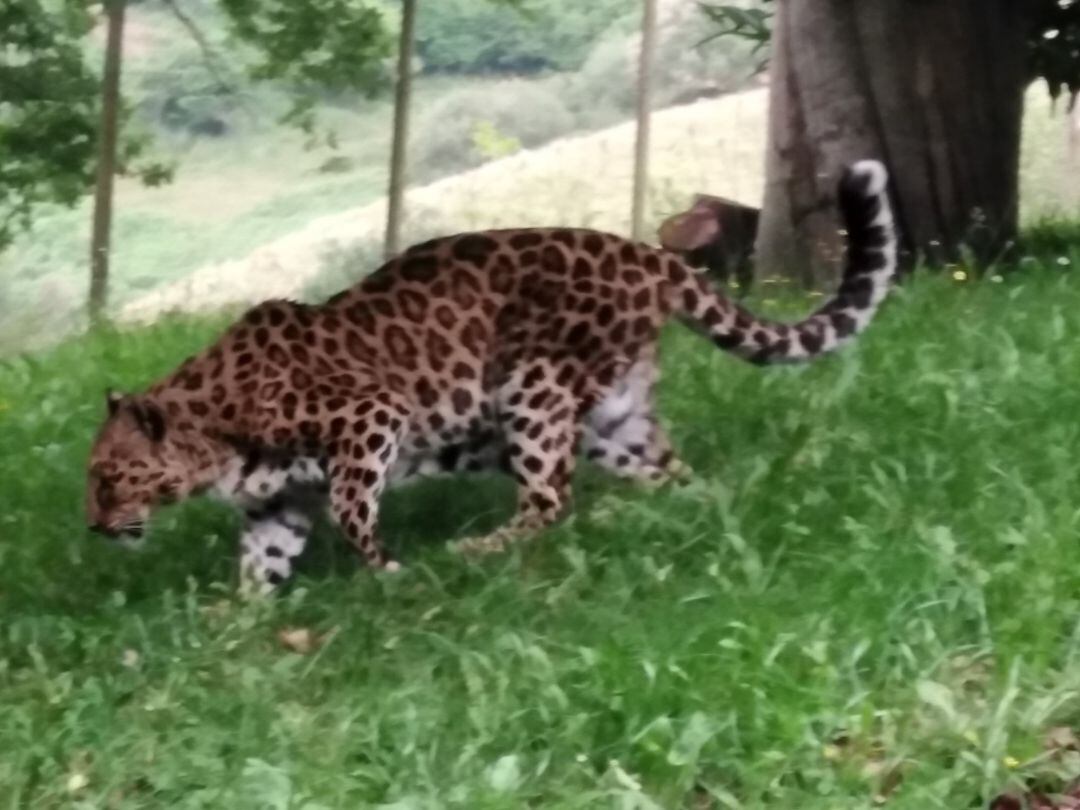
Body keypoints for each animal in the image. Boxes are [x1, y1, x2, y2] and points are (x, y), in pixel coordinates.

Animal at [84, 159, 898, 591]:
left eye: (109, 477)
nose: (93, 528)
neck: (212, 432)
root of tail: (650, 255)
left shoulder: (369, 417)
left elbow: (353, 510)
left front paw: (390, 574)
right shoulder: (276, 504)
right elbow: (264, 561)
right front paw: (233, 624)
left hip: (533, 389)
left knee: (549, 497)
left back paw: (477, 550)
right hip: (611, 413)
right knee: (660, 474)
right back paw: (675, 513)